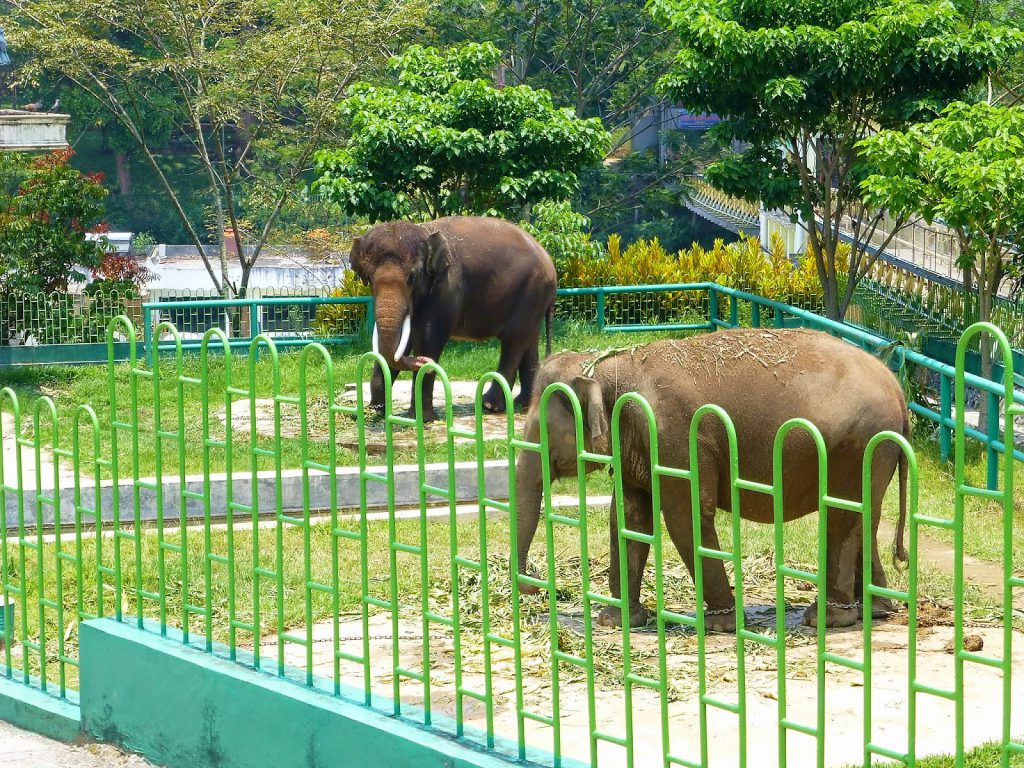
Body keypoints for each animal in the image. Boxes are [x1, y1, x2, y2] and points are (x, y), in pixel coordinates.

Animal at [352, 215, 561, 421]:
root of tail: (548, 258)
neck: (424, 231)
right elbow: (403, 340)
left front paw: (420, 419)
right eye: (368, 279)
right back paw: (524, 403)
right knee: (529, 339)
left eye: (412, 277)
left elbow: (429, 338)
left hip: (533, 290)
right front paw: (375, 411)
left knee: (514, 340)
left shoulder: (447, 286)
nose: (422, 362)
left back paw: (489, 405)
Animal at [516, 331, 909, 630]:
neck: (607, 365)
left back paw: (825, 619)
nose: (534, 586)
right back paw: (874, 610)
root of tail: (898, 390)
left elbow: (685, 515)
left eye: (542, 430)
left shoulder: (674, 438)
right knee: (864, 519)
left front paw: (722, 624)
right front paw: (616, 621)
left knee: (842, 517)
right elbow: (628, 517)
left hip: (855, 446)